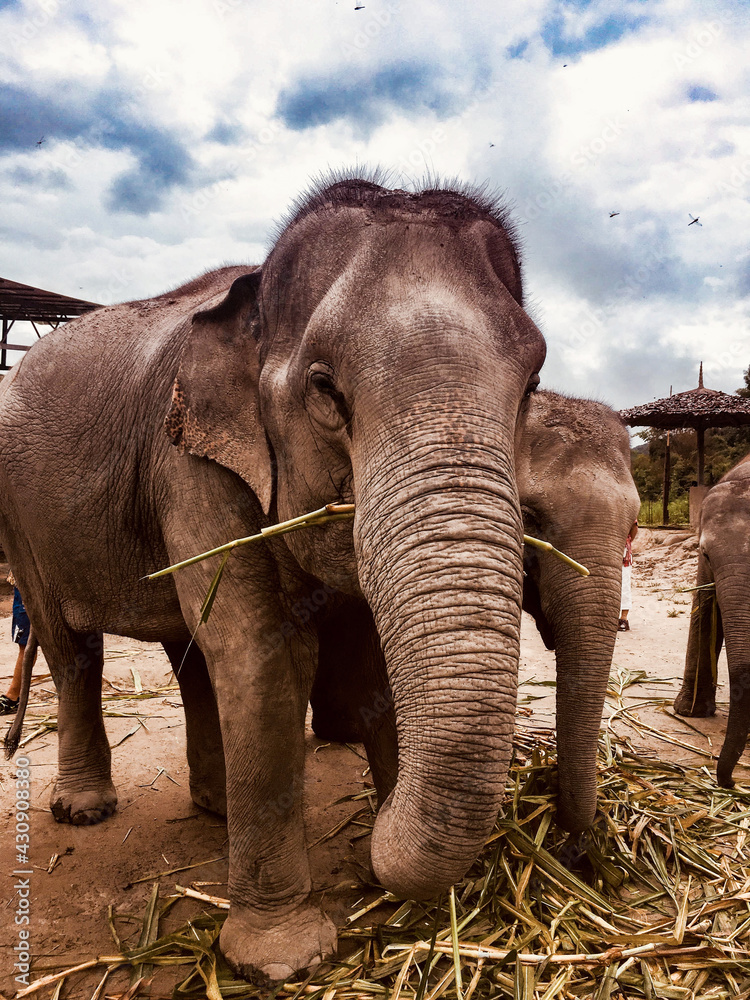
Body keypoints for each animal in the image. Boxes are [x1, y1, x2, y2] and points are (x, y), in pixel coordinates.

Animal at [0, 175, 545, 980]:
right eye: (325, 390)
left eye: (532, 384)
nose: (376, 835)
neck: (254, 303)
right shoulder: (192, 462)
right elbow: (264, 657)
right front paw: (283, 960)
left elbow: (358, 657)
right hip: (23, 523)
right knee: (74, 649)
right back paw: (86, 809)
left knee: (189, 653)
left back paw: (217, 807)